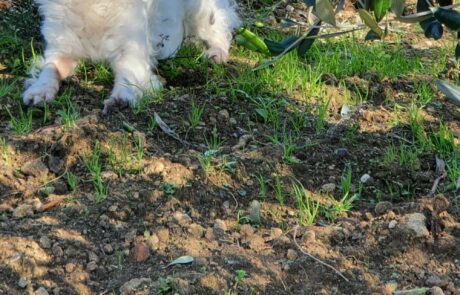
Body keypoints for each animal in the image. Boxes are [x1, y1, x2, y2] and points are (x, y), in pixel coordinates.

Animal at [24, 0, 241, 114]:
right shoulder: (61, 50)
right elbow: (50, 71)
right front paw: (39, 91)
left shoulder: (132, 53)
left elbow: (127, 75)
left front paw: (122, 97)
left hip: (200, 12)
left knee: (221, 23)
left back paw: (216, 53)